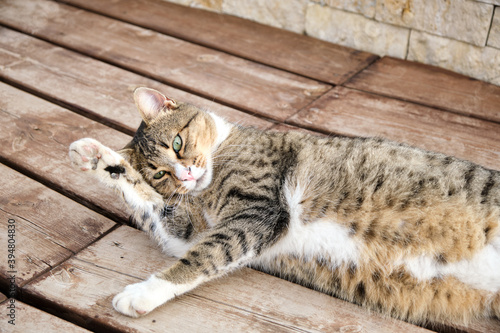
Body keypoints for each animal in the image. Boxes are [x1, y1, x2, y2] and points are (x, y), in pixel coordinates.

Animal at [67, 87, 500, 326]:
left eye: (177, 142)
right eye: (159, 173)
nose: (185, 174)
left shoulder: (260, 212)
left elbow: (200, 259)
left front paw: (141, 294)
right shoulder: (191, 230)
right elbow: (157, 212)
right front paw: (97, 157)